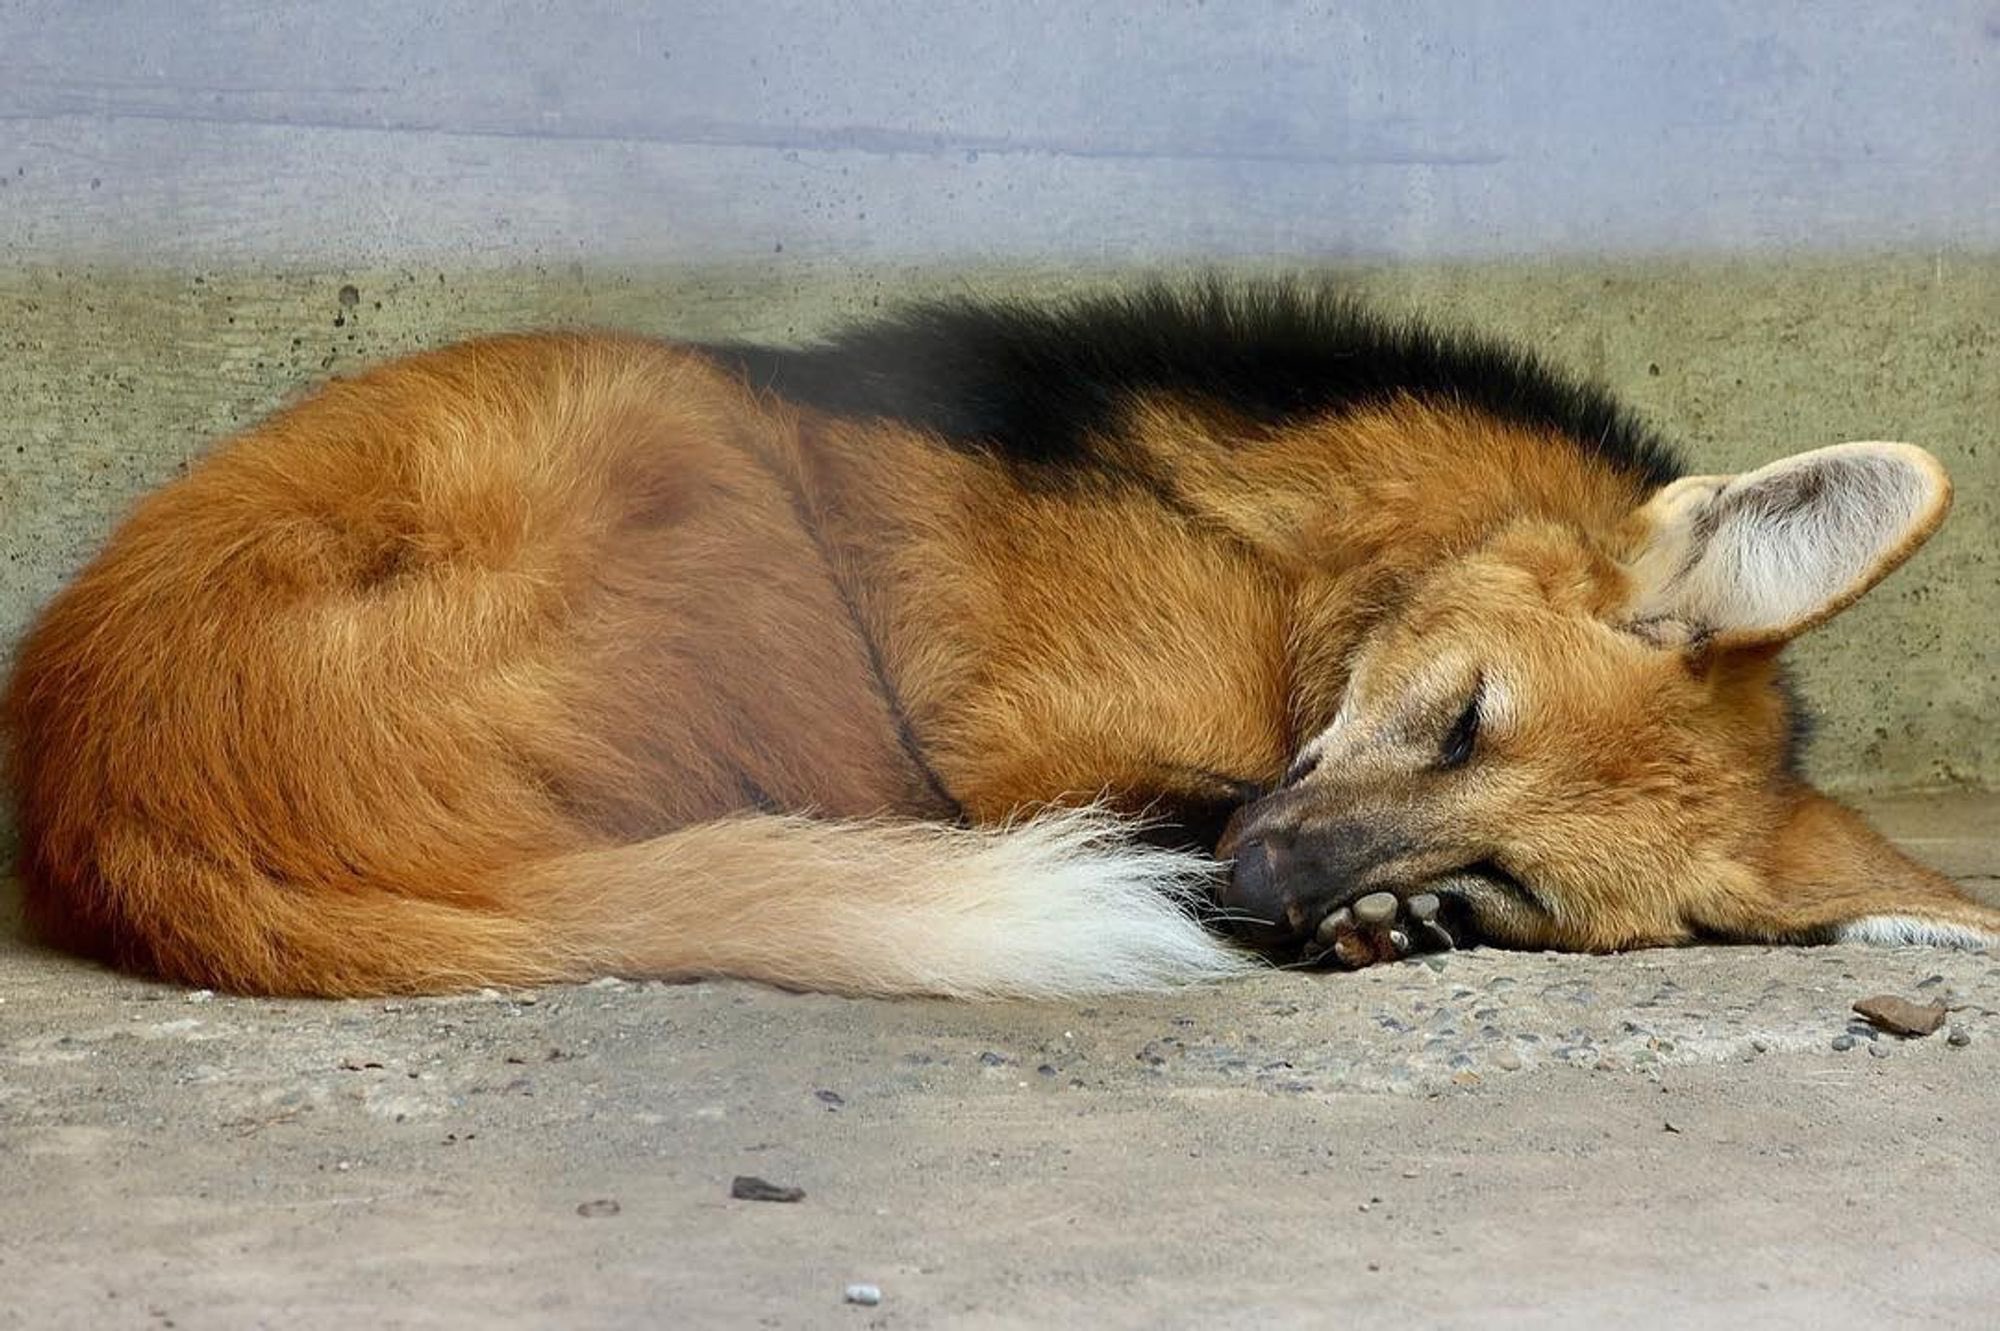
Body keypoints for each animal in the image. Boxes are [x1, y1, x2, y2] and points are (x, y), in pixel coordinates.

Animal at [6, 281, 1992, 998]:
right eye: (1460, 719)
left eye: (1514, 879)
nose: (1269, 882)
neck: (1279, 562)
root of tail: (117, 789)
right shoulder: (1027, 740)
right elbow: (1105, 794)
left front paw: (1395, 916)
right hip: (682, 458)